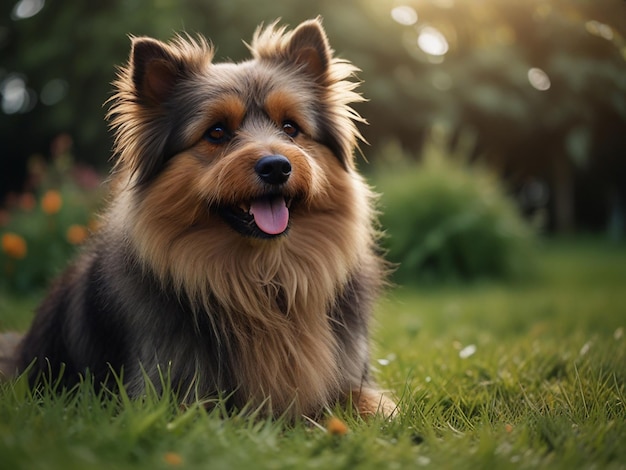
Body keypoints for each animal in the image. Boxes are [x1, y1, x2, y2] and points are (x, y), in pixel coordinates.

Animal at [2, 19, 394, 418]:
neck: (264, 278)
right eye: (216, 132)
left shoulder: (350, 381)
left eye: (290, 128)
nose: (276, 167)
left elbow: (374, 405)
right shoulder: (170, 397)